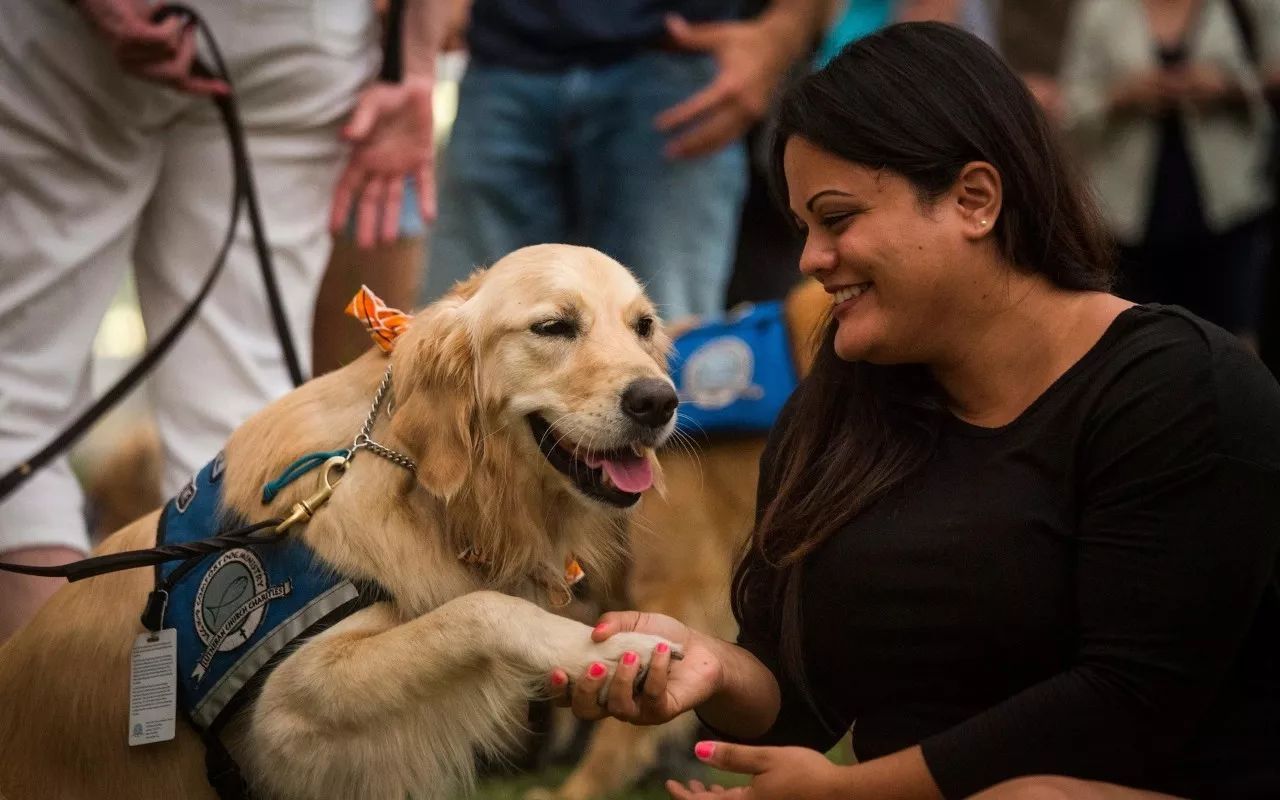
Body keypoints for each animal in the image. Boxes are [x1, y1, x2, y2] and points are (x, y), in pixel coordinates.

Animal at [0, 243, 686, 798]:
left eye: (644, 326)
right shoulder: (287, 706)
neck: (421, 486)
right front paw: (620, 647)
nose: (659, 401)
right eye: (553, 326)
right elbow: (481, 610)